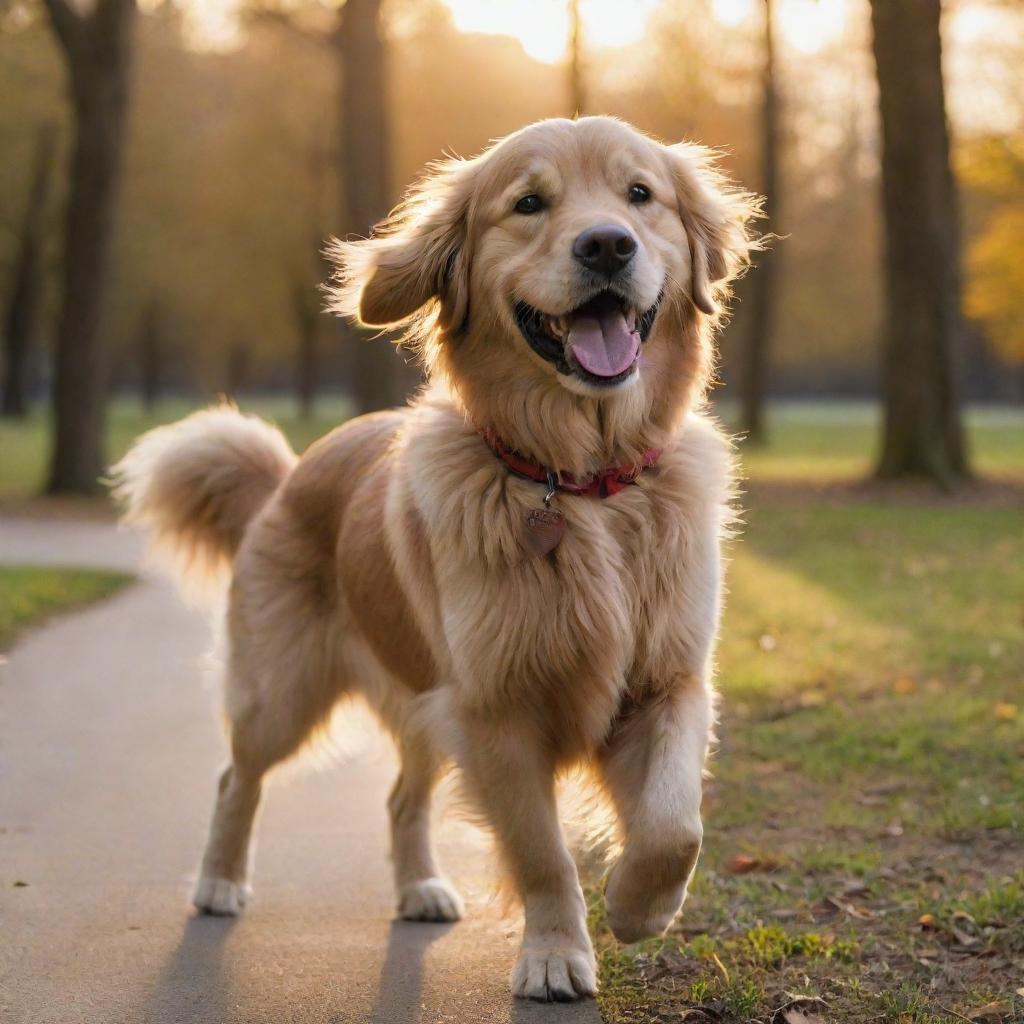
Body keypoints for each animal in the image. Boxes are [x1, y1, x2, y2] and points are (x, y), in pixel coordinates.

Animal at [114, 117, 761, 999]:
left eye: (640, 195)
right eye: (528, 204)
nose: (607, 246)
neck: (582, 485)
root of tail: (289, 473)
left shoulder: (668, 682)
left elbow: (673, 826)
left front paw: (637, 908)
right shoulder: (494, 710)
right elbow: (542, 854)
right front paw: (555, 953)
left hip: (421, 697)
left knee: (399, 798)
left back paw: (420, 886)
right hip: (285, 688)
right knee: (236, 777)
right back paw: (219, 881)